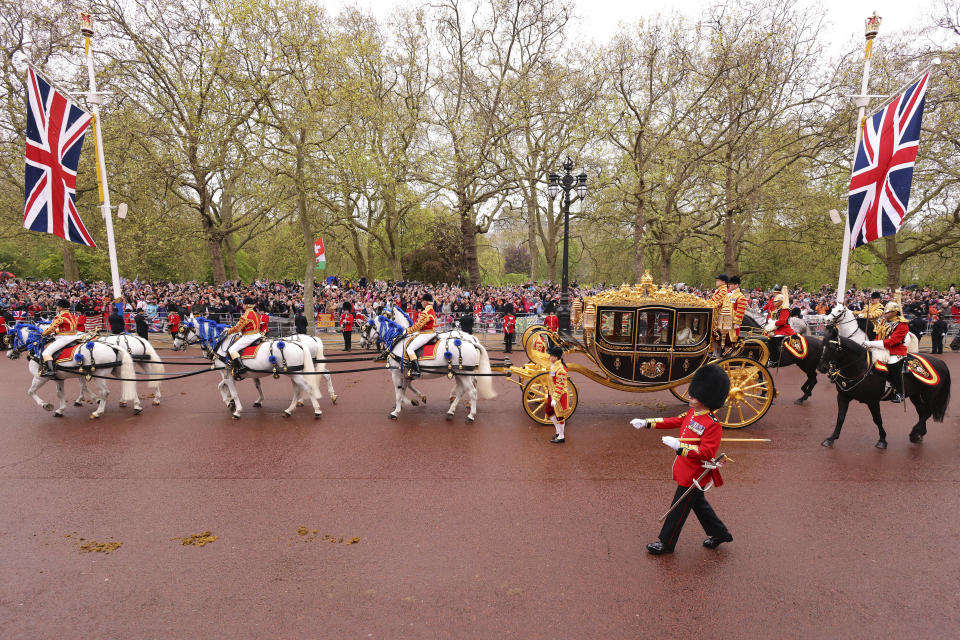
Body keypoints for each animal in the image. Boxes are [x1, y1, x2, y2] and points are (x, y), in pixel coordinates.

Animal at [6, 320, 142, 420]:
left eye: (11, 339)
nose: (9, 355)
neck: (39, 348)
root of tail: (113, 347)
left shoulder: (41, 376)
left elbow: (30, 391)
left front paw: (46, 405)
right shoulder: (61, 377)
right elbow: (62, 393)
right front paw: (61, 409)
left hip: (99, 376)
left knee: (105, 392)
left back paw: (98, 412)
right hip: (117, 370)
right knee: (129, 382)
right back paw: (136, 406)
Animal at [172, 316, 322, 420]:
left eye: (182, 329)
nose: (174, 346)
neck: (222, 344)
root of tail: (299, 344)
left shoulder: (227, 372)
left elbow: (232, 391)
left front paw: (236, 409)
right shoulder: (232, 374)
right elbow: (223, 386)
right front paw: (230, 402)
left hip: (295, 373)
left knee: (308, 387)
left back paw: (317, 410)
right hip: (293, 373)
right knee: (297, 390)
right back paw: (289, 410)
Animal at [816, 324, 952, 450]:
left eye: (832, 347)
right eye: (822, 344)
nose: (821, 367)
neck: (860, 367)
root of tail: (941, 362)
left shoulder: (872, 401)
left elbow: (877, 419)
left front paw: (882, 440)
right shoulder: (843, 396)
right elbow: (840, 418)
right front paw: (831, 438)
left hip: (930, 394)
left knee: (927, 412)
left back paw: (914, 432)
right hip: (915, 394)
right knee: (922, 411)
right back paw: (918, 434)